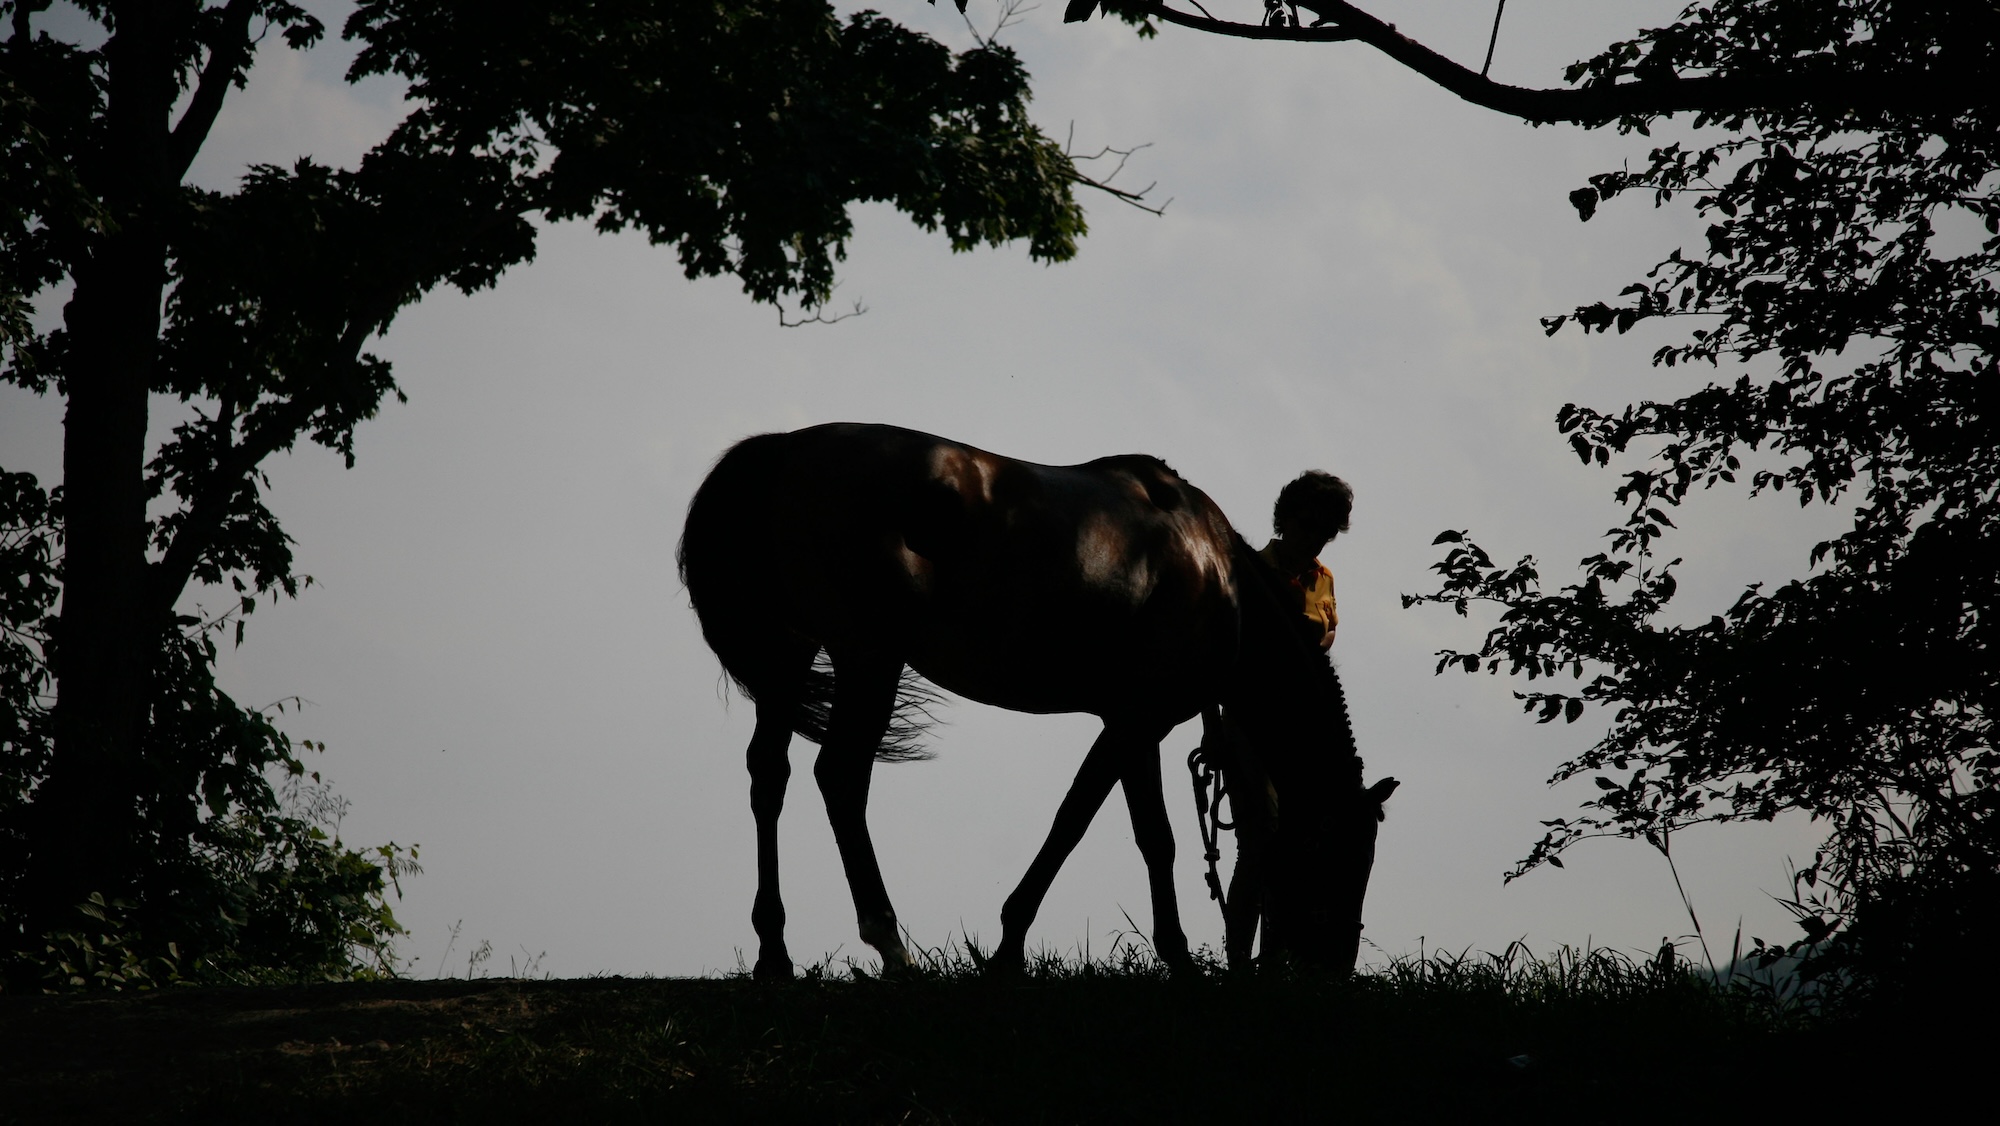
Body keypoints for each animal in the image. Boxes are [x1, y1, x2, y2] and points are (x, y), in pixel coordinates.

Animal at [678, 422, 1396, 977]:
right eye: (1345, 855)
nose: (1335, 967)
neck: (1221, 580)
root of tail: (783, 453)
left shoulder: (1132, 724)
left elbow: (1130, 834)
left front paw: (1166, 956)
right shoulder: (1138, 720)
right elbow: (1097, 826)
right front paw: (1018, 947)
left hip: (789, 654)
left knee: (770, 775)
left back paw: (775, 953)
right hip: (867, 659)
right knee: (841, 778)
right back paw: (893, 947)